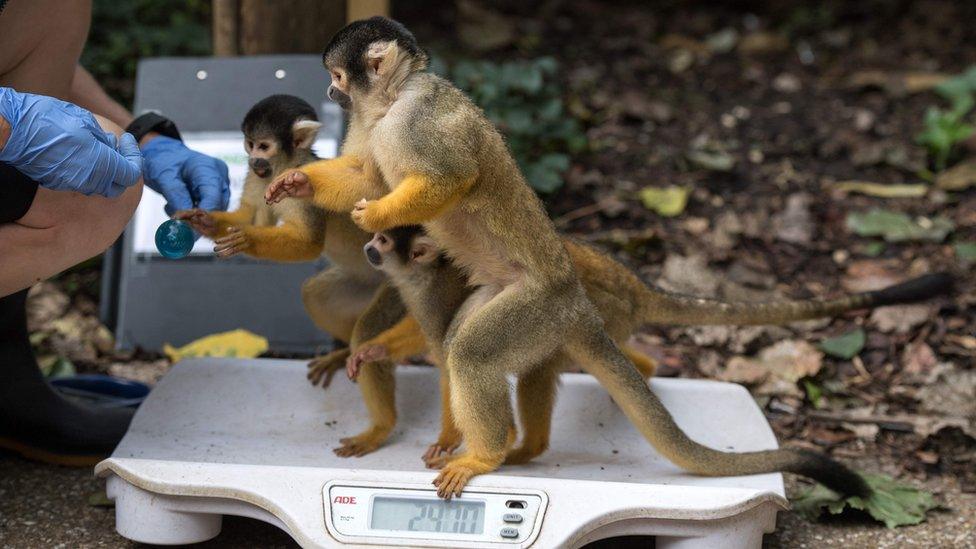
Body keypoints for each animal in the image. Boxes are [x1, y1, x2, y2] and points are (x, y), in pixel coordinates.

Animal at [263, 17, 948, 499]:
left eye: (340, 76)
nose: (330, 90)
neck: (393, 100)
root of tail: (575, 297)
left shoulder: (422, 116)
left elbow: (449, 178)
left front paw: (376, 217)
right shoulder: (373, 125)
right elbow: (364, 172)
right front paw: (297, 183)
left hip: (536, 306)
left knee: (473, 352)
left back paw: (486, 453)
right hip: (510, 299)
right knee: (459, 339)